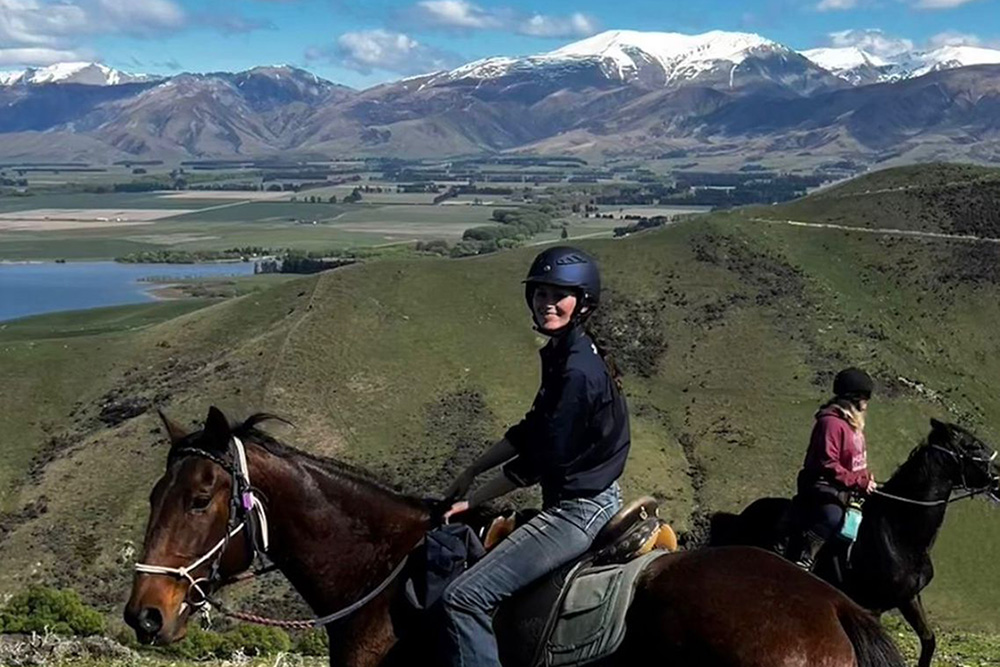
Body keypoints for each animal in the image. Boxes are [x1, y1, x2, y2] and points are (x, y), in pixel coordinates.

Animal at [712, 420, 1000, 667]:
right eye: (973, 446)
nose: (998, 477)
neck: (898, 531)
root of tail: (743, 515)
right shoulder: (872, 608)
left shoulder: (909, 598)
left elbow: (929, 641)